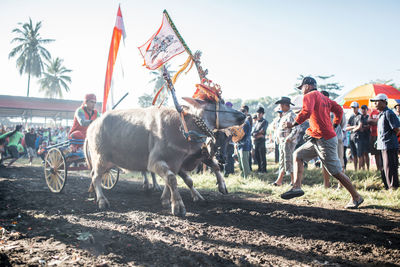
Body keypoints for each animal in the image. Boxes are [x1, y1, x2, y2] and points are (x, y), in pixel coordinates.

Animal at [86, 97, 245, 217]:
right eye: (217, 103)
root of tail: (92, 126)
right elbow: (172, 179)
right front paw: (178, 206)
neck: (181, 128)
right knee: (95, 177)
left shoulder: (177, 162)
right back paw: (102, 200)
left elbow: (179, 179)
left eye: (228, 140)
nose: (243, 115)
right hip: (100, 159)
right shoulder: (155, 162)